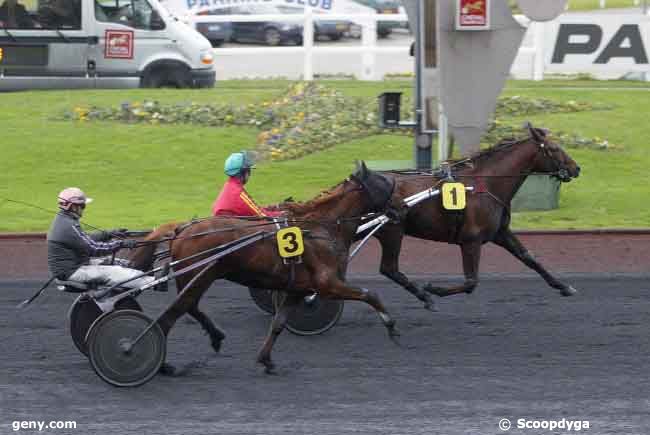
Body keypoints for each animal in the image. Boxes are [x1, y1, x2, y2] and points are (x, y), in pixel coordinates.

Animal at [130, 164, 394, 374]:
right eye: (383, 181)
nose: (400, 204)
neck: (321, 228)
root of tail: (182, 229)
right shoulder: (327, 284)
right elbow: (371, 294)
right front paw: (391, 327)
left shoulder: (298, 289)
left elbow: (278, 323)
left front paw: (266, 360)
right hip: (199, 277)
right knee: (172, 314)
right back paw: (157, 361)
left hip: (196, 279)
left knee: (190, 307)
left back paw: (215, 337)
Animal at [372, 124, 580, 312]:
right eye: (554, 149)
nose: (576, 168)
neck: (487, 184)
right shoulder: (471, 240)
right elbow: (471, 282)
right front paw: (434, 288)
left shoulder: (500, 233)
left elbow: (529, 258)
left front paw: (564, 286)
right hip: (392, 231)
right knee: (389, 268)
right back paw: (425, 296)